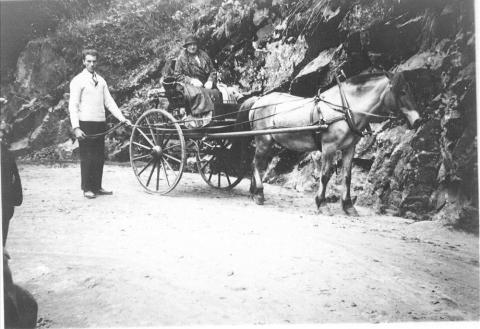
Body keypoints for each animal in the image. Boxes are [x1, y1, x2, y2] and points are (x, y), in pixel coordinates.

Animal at [238, 71, 422, 215]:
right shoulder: (329, 147)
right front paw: (322, 203)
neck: (344, 109)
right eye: (402, 92)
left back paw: (254, 192)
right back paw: (259, 193)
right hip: (263, 140)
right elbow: (325, 175)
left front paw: (348, 206)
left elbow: (347, 176)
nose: (418, 120)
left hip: (267, 142)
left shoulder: (349, 148)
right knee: (256, 164)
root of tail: (258, 100)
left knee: (257, 164)